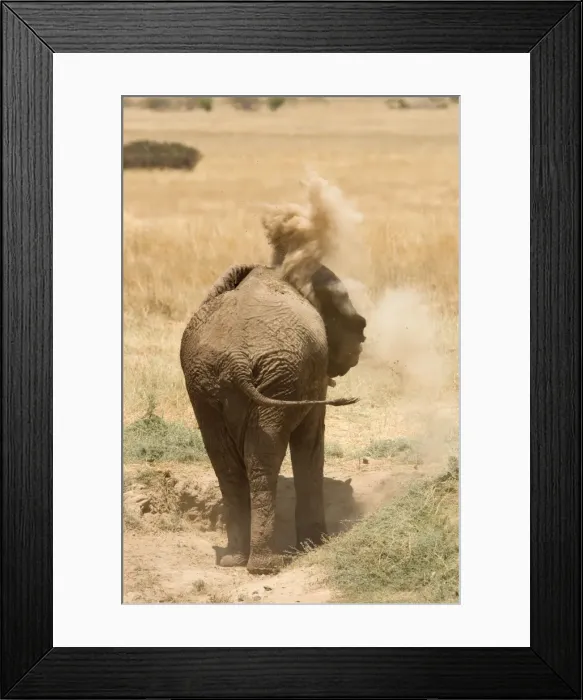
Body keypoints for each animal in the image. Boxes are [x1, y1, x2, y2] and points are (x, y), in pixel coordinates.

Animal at [180, 262, 366, 574]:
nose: (363, 337)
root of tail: (236, 359)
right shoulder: (312, 377)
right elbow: (311, 443)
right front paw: (316, 545)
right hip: (276, 376)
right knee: (263, 460)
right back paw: (264, 567)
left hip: (207, 385)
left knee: (227, 464)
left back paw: (235, 560)